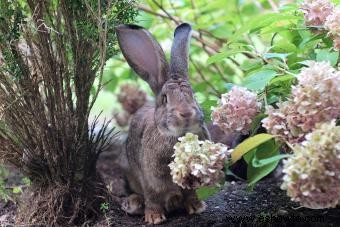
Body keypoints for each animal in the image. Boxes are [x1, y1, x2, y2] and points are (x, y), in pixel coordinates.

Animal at [115, 23, 210, 225]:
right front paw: (154, 218)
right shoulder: (150, 180)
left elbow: (190, 193)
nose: (186, 113)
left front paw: (197, 208)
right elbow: (153, 197)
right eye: (165, 99)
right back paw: (134, 204)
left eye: (193, 95)